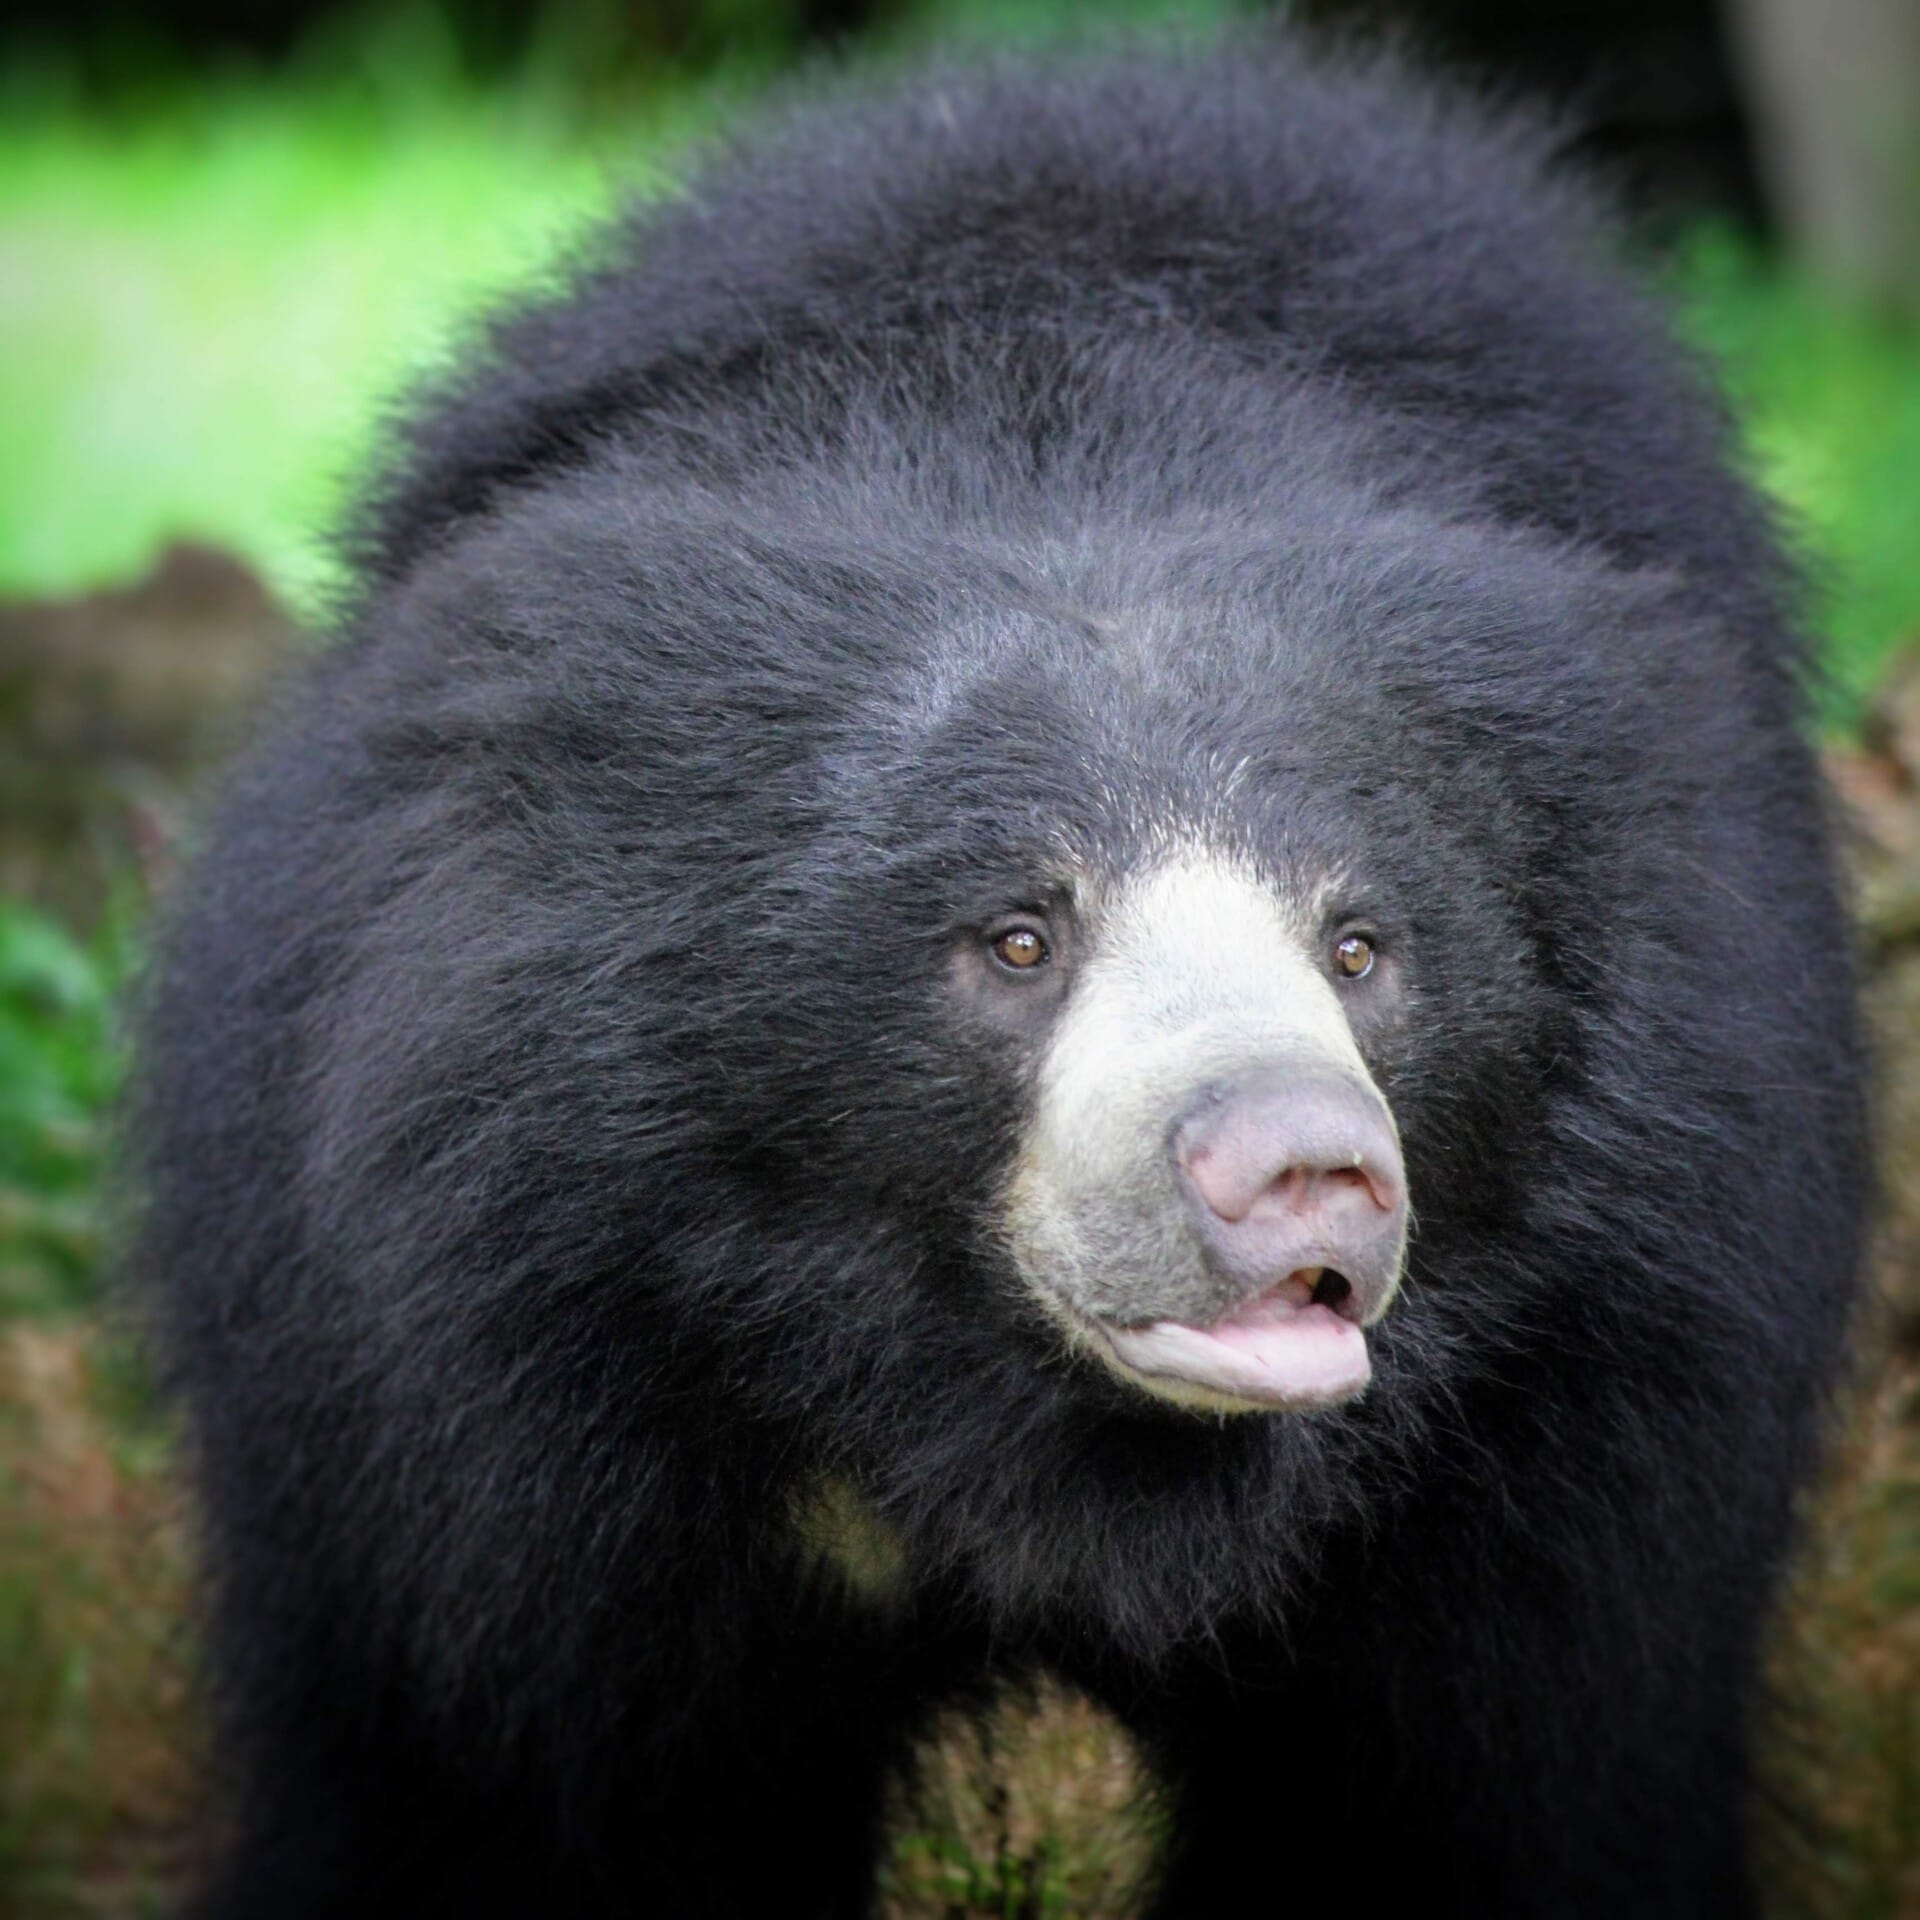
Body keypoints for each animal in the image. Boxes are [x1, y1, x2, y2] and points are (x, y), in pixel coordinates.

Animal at [139, 30, 1873, 1920]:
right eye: (1018, 938)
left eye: (1362, 946)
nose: (1301, 1169)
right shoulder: (470, 1356)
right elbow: (512, 1783)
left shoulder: (1603, 1382)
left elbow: (1492, 1794)